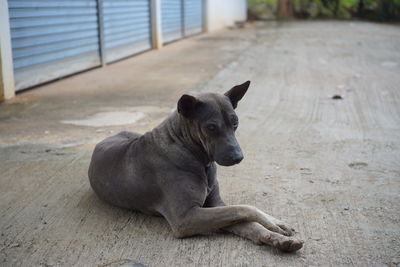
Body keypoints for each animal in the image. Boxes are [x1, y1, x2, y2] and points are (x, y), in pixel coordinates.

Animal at [89, 81, 304, 253]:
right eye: (211, 127)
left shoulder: (215, 205)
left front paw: (276, 234)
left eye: (235, 122)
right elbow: (245, 208)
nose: (238, 157)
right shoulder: (186, 218)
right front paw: (272, 224)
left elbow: (246, 220)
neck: (190, 151)